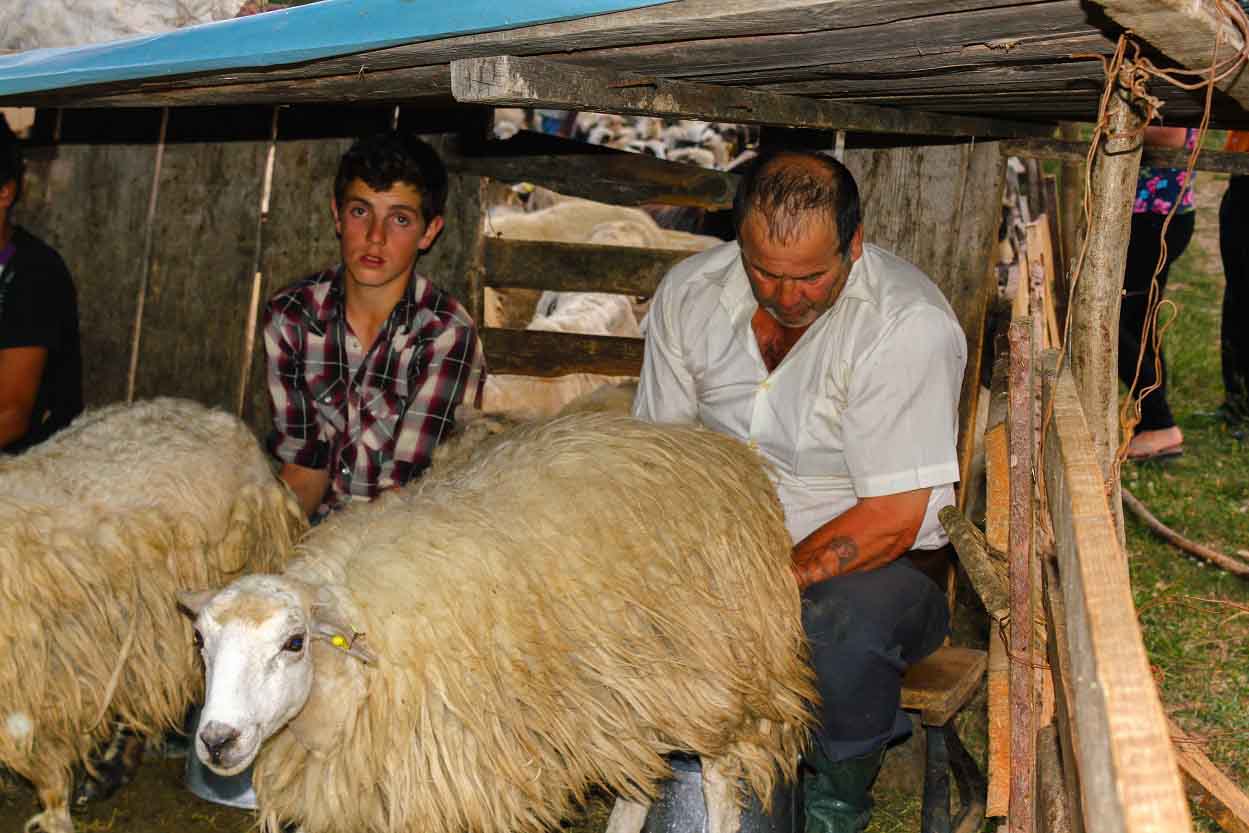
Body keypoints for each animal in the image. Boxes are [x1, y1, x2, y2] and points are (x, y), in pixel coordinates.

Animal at [181, 414, 814, 833]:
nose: (216, 740)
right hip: (627, 691)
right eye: (202, 642)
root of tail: (720, 448)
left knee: (719, 774)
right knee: (639, 780)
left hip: (713, 671)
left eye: (292, 643)